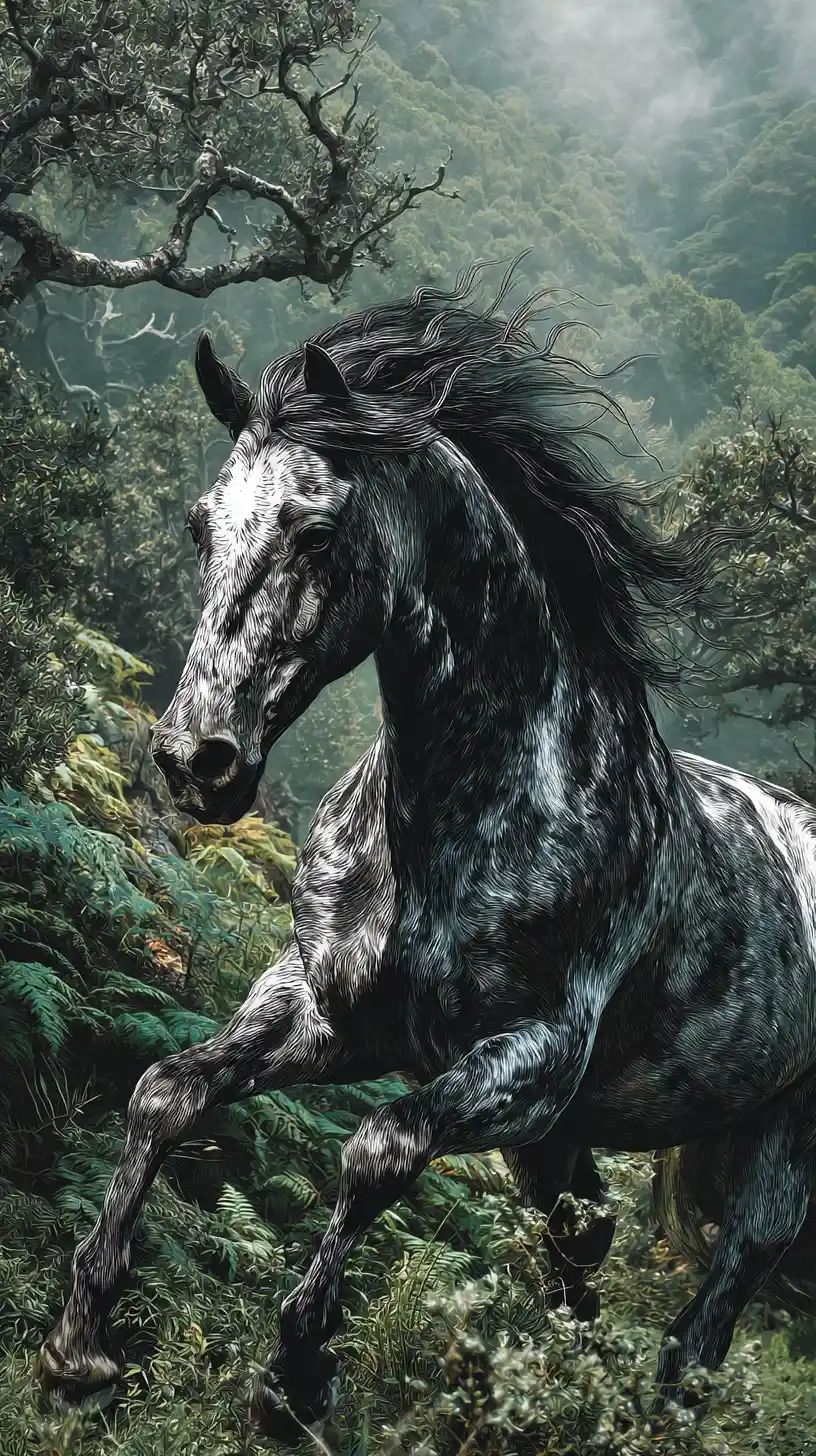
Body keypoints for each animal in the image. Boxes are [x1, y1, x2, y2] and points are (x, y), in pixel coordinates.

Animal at [38, 261, 816, 1440]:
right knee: (584, 1248)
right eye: (199, 525)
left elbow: (378, 1151)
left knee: (716, 1303)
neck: (463, 815)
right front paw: (79, 1348)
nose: (194, 759)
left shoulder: (529, 1060)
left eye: (316, 531)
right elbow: (165, 1090)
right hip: (571, 1145)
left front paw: (294, 1377)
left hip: (774, 1142)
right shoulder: (329, 1011)